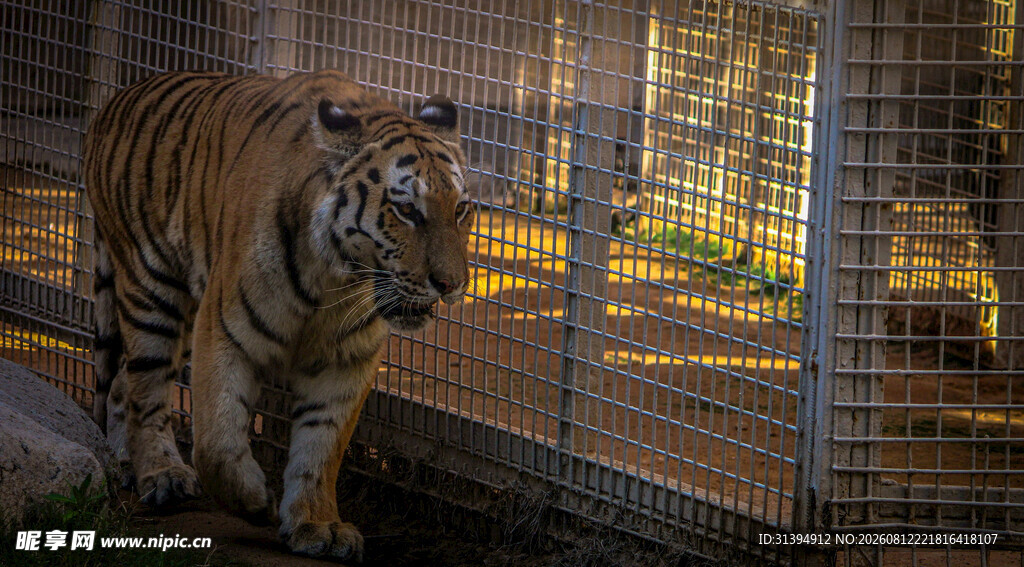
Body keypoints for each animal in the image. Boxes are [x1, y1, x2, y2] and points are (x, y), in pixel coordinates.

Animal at [82, 69, 473, 561]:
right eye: (406, 210)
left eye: (460, 209)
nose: (452, 284)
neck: (337, 279)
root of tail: (116, 99)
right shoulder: (224, 329)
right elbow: (216, 442)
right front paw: (256, 501)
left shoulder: (346, 359)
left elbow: (322, 446)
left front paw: (318, 525)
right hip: (153, 290)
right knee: (146, 388)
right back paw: (162, 474)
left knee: (122, 382)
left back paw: (126, 462)